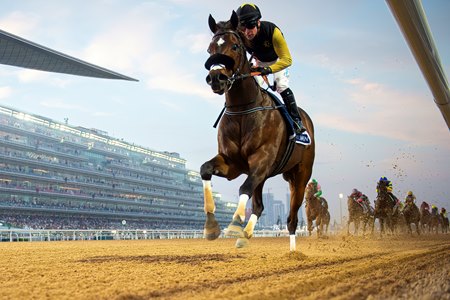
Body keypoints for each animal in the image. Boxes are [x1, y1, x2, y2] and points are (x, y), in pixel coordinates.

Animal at [202, 11, 314, 251]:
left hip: (300, 176)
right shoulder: (232, 163)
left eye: (235, 46)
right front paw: (211, 227)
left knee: (292, 218)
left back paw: (293, 252)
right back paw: (245, 236)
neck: (243, 110)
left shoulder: (262, 160)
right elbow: (205, 169)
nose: (216, 78)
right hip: (264, 176)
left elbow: (243, 189)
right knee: (260, 206)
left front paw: (234, 225)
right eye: (209, 49)